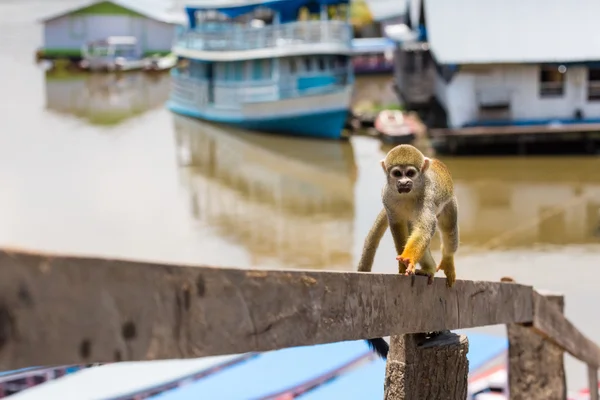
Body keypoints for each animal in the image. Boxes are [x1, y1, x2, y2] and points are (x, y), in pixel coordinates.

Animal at [358, 145, 462, 358]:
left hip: (449, 203)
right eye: (397, 173)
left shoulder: (428, 197)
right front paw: (402, 264)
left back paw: (447, 260)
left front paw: (407, 259)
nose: (404, 182)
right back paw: (428, 268)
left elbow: (424, 229)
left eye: (410, 174)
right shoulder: (387, 196)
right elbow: (397, 224)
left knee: (448, 229)